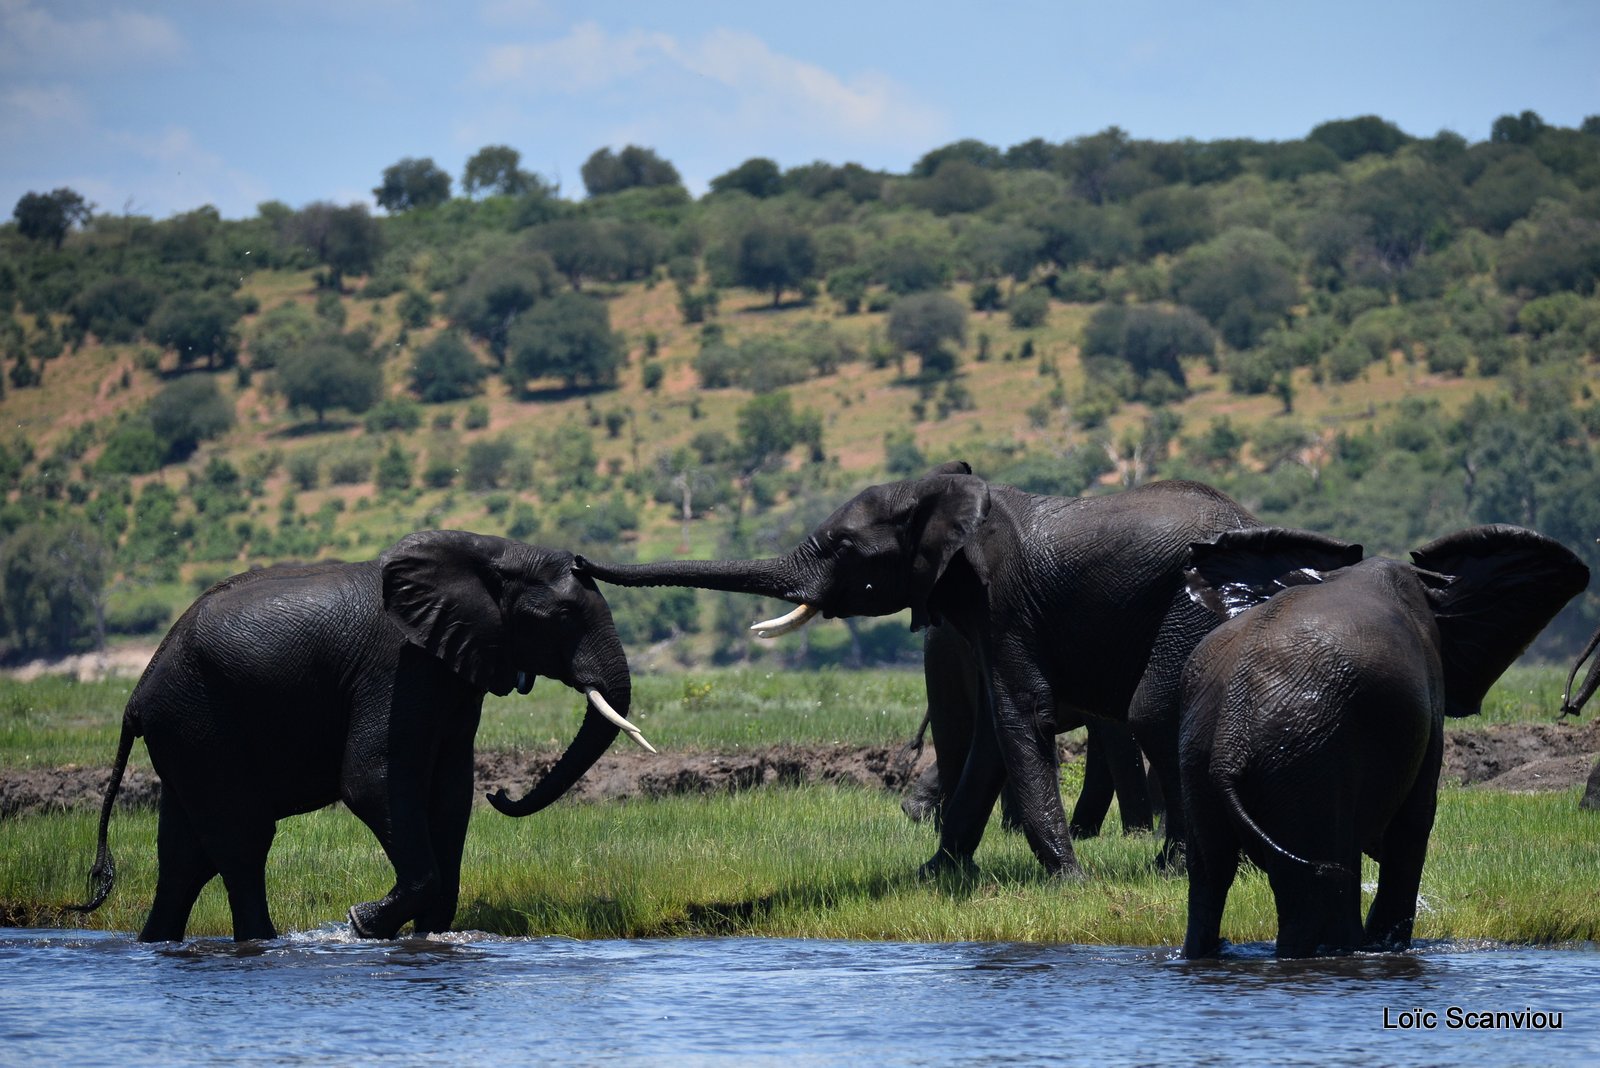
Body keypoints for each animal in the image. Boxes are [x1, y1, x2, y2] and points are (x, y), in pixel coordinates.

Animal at [73, 527, 649, 940]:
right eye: (566, 615)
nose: (504, 792)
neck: (491, 551)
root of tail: (136, 694)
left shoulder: (455, 671)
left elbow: (450, 793)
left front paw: (429, 936)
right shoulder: (397, 667)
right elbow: (373, 780)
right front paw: (362, 922)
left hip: (185, 736)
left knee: (185, 858)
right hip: (196, 719)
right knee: (241, 843)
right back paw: (263, 944)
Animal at [579, 460, 1260, 876]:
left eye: (842, 547)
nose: (580, 563)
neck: (945, 500)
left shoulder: (1006, 602)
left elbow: (1020, 717)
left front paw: (1070, 879)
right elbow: (992, 734)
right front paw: (935, 874)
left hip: (1196, 602)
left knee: (1150, 714)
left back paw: (1175, 866)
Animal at [1177, 524, 1587, 959]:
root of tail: (1230, 741)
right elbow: (1414, 822)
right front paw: (1388, 945)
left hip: (1201, 759)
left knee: (1210, 874)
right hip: (1307, 763)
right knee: (1316, 879)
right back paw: (1340, 949)